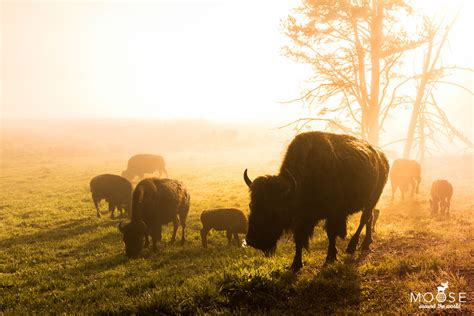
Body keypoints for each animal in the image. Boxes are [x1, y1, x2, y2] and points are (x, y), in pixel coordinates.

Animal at [244, 131, 388, 272]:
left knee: (364, 218)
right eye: (251, 205)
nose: (252, 240)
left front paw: (330, 258)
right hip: (369, 202)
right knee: (370, 217)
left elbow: (331, 234)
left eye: (275, 211)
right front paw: (295, 265)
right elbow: (299, 239)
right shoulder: (302, 218)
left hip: (373, 198)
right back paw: (366, 243)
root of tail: (381, 156)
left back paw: (352, 247)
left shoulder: (333, 214)